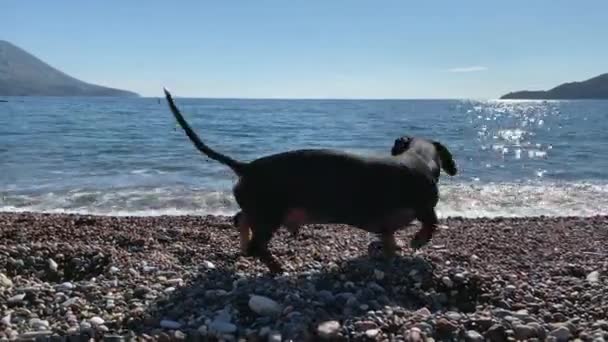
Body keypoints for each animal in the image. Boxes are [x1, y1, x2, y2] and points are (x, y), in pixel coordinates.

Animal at [164, 89, 458, 276]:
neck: (418, 159)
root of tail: (246, 167)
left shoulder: (385, 224)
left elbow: (389, 240)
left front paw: (392, 254)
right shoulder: (424, 206)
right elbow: (431, 223)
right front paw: (417, 242)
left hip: (260, 210)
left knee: (241, 221)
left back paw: (245, 248)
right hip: (270, 214)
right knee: (258, 245)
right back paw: (277, 269)